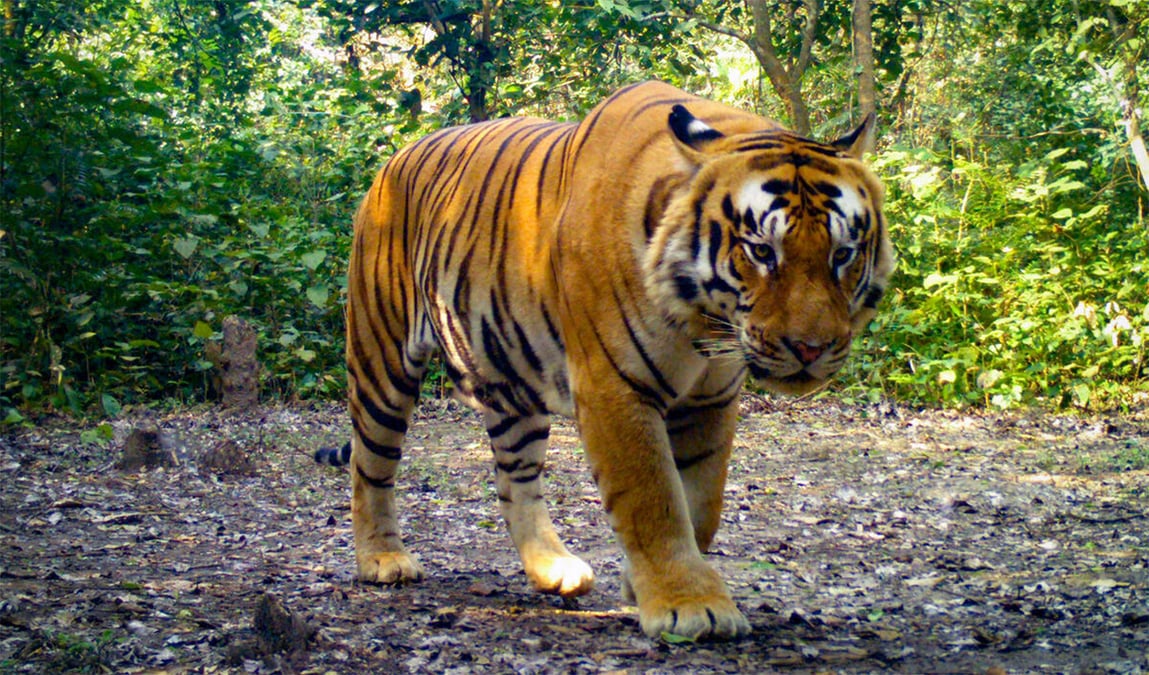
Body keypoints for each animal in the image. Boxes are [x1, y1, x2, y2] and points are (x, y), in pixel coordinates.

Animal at [317, 80, 895, 640]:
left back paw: (553, 570)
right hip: (381, 360)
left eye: (843, 254)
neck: (706, 322)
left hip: (511, 383)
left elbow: (702, 502)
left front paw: (648, 585)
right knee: (371, 466)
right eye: (761, 251)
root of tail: (395, 158)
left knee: (513, 479)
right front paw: (690, 606)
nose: (810, 348)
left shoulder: (712, 398)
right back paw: (383, 559)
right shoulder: (615, 386)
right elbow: (653, 498)